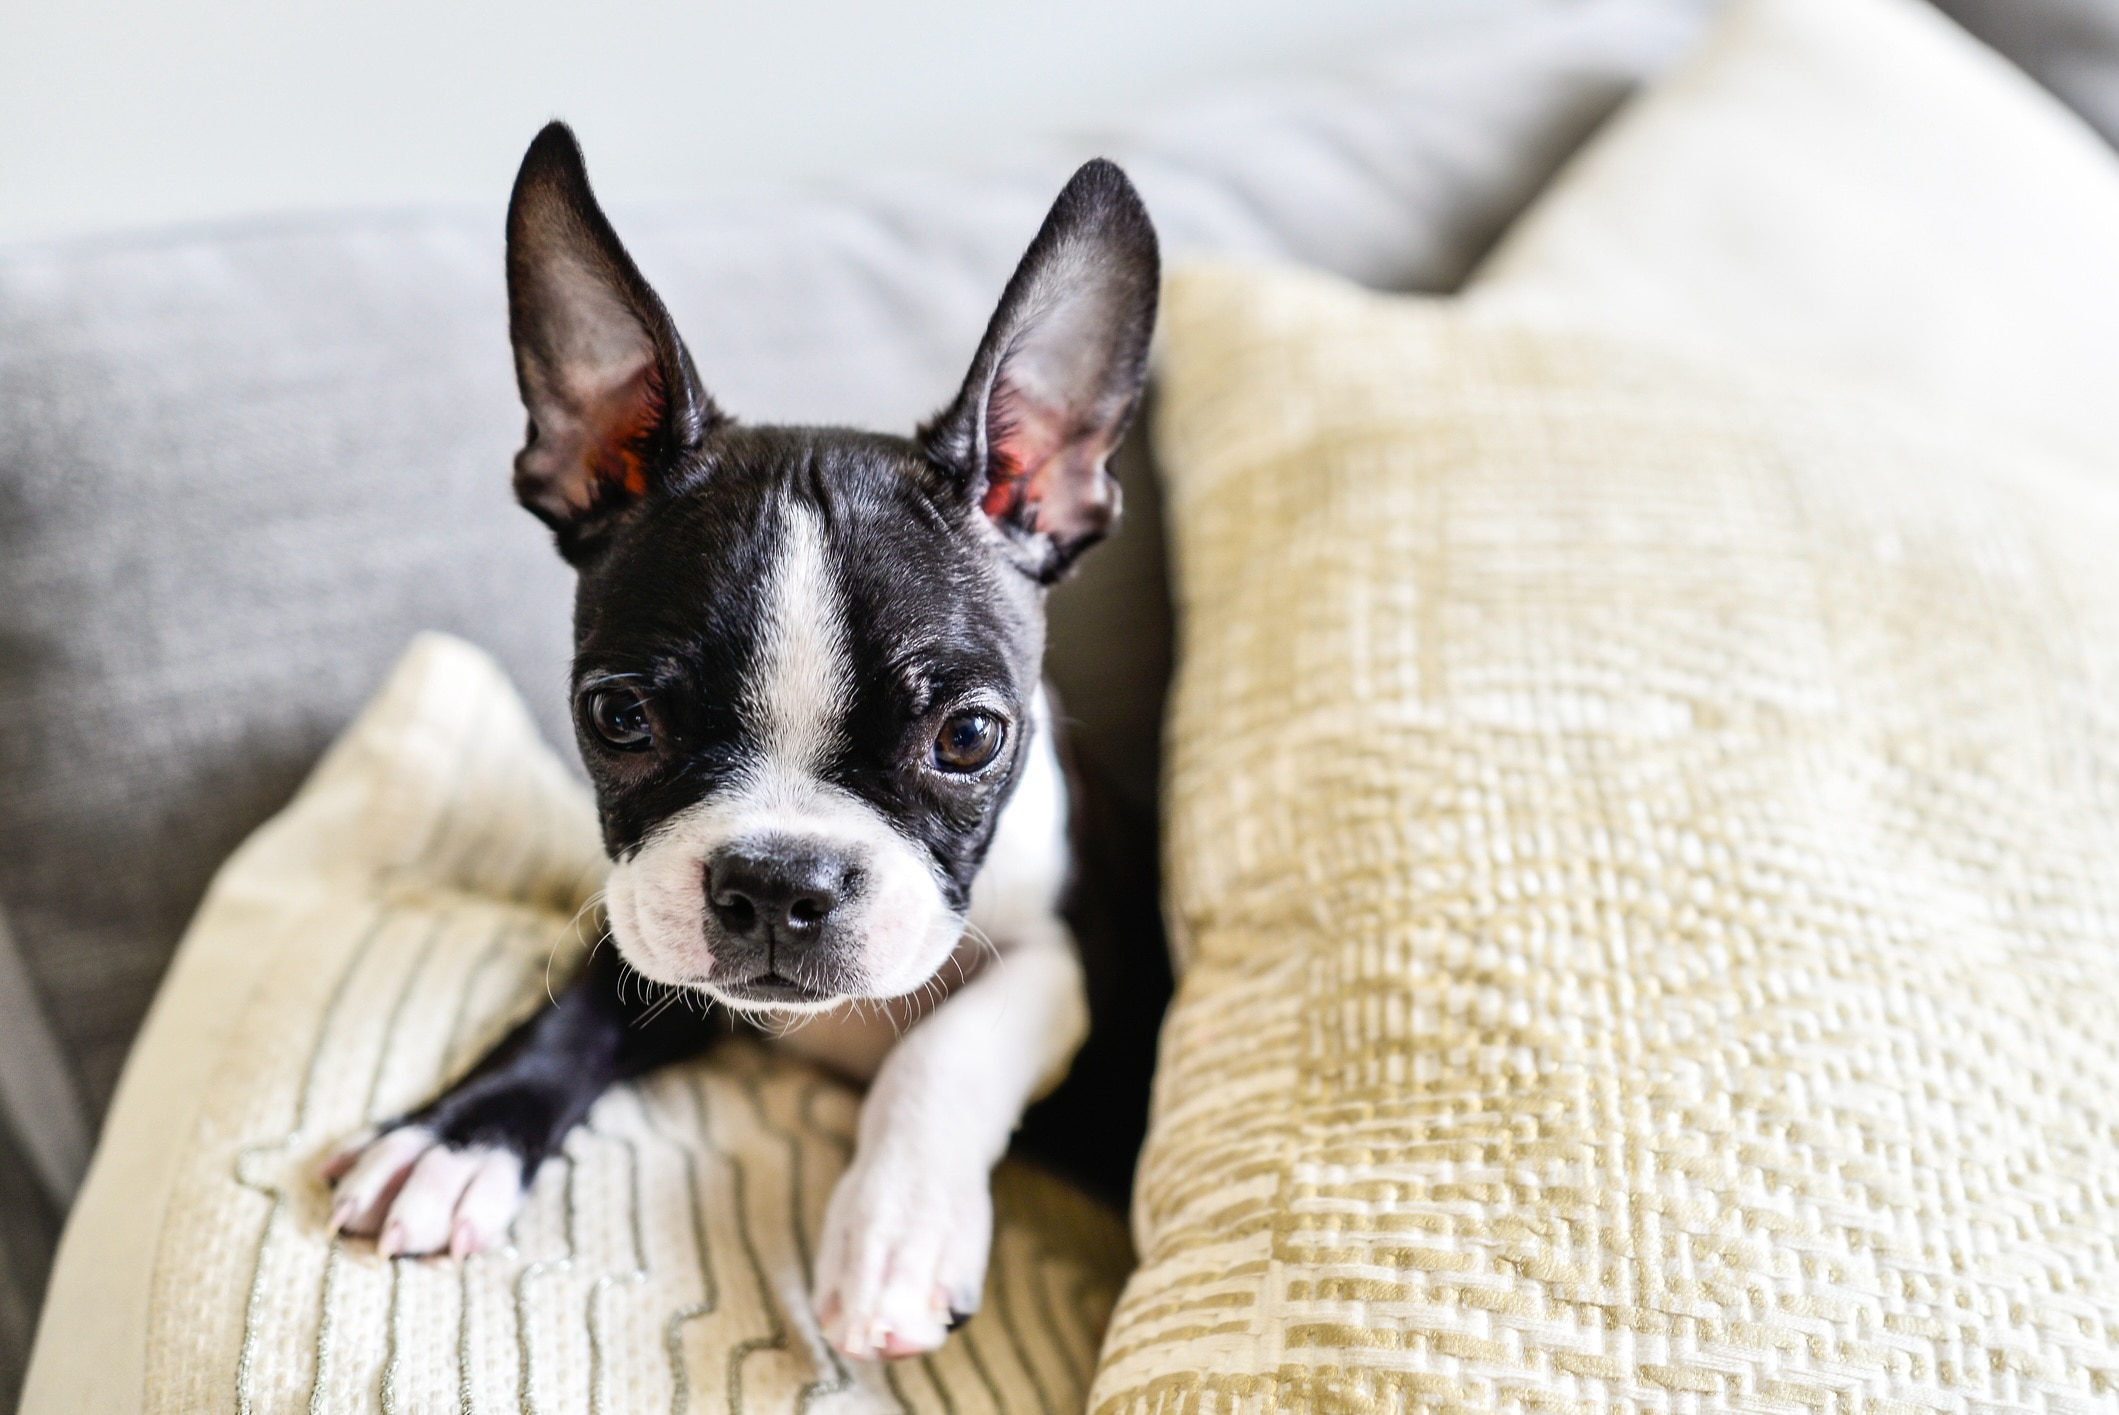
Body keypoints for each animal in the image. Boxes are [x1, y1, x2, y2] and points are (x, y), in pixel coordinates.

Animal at [322, 127, 1169, 1364]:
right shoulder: (648, 917)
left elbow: (948, 1043)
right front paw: (455, 1136)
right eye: (619, 715)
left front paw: (893, 1234)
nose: (778, 882)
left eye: (969, 736)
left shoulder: (1071, 949)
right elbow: (578, 1002)